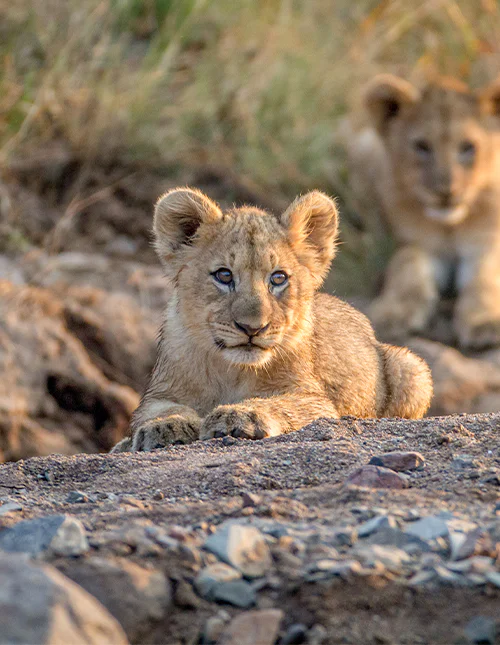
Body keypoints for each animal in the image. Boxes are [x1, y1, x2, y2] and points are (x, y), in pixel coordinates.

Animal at [111, 188, 432, 452]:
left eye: (278, 278)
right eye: (224, 275)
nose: (252, 328)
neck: (233, 369)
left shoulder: (313, 398)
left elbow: (281, 403)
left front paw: (240, 414)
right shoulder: (159, 393)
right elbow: (160, 410)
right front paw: (165, 426)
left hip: (411, 367)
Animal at [347, 74, 500, 349]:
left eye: (468, 147)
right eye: (422, 146)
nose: (446, 192)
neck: (449, 226)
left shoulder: (487, 241)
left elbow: (485, 275)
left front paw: (484, 323)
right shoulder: (412, 242)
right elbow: (406, 267)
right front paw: (392, 314)